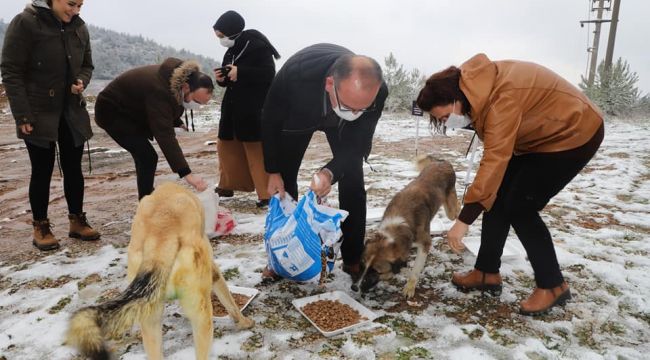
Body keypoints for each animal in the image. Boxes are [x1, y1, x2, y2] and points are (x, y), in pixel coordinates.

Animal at [66, 183, 253, 360]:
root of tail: (160, 240)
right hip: (202, 319)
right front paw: (244, 322)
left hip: (150, 322)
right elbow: (230, 301)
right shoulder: (214, 273)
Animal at [356, 155, 458, 298]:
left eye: (376, 272)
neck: (397, 228)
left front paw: (410, 287)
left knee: (456, 211)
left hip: (450, 210)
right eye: (361, 265)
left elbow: (415, 269)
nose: (354, 287)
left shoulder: (425, 243)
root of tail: (442, 161)